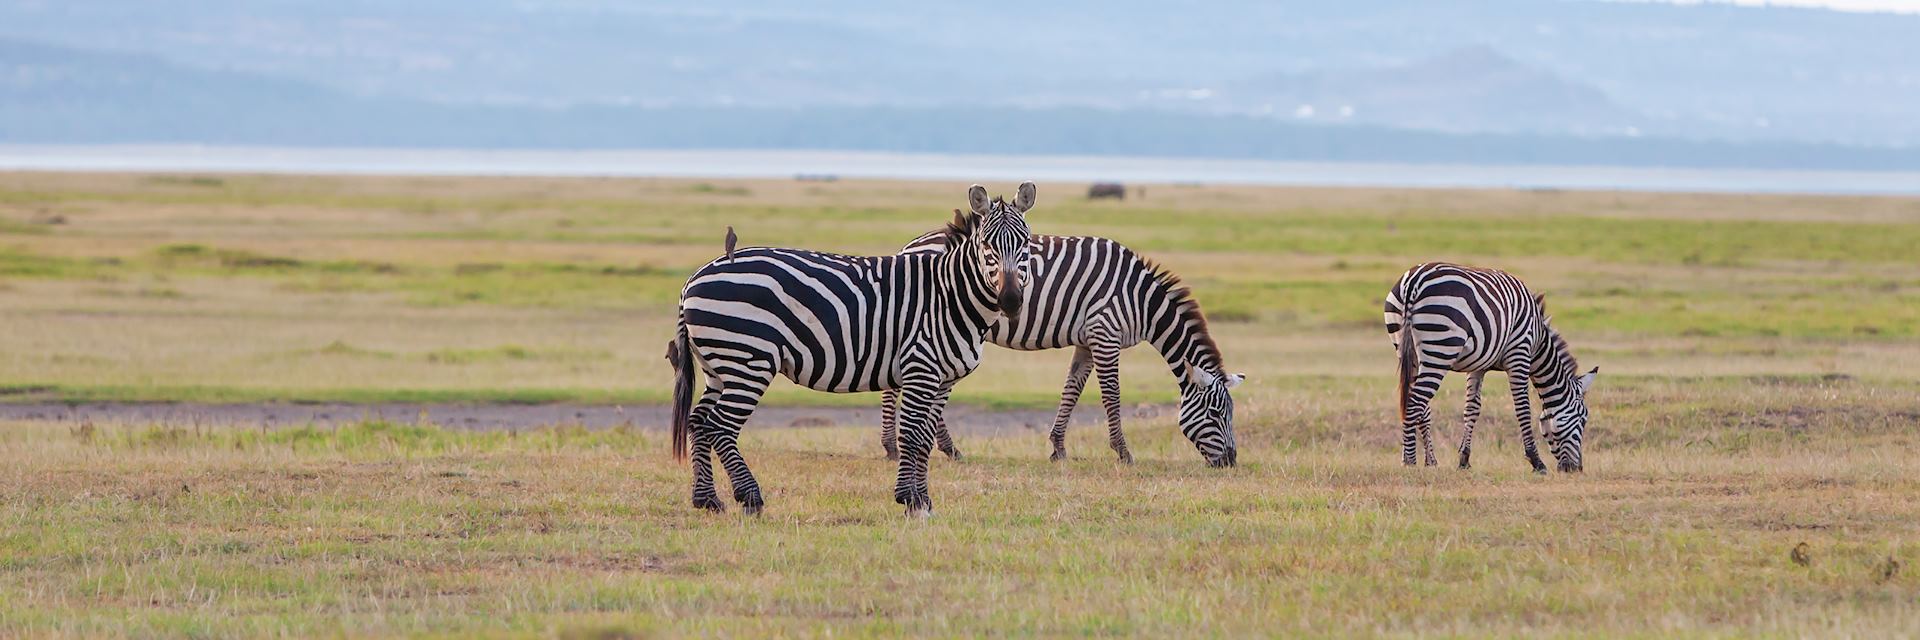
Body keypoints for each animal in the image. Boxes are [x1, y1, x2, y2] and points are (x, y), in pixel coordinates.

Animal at [672, 181, 1036, 515]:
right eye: (986, 245)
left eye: (1024, 244)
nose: (1011, 300)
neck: (949, 296)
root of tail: (694, 277)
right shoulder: (921, 368)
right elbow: (912, 435)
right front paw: (910, 499)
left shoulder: (943, 380)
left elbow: (926, 439)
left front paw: (924, 499)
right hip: (749, 360)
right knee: (720, 426)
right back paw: (750, 498)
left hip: (718, 365)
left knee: (698, 422)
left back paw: (707, 499)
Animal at [879, 231, 1251, 467]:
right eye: (1216, 414)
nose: (1231, 462)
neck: (1141, 301)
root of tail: (909, 246)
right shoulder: (1105, 332)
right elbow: (1112, 395)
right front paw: (1123, 453)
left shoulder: (1087, 340)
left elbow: (1072, 389)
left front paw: (1058, 447)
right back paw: (894, 447)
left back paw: (944, 447)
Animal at [1390, 261, 1597, 472]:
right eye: (1583, 419)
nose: (1577, 469)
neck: (1538, 342)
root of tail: (1415, 280)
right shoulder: (1519, 355)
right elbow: (1523, 408)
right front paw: (1536, 461)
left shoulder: (1478, 365)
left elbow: (1472, 408)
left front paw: (1464, 460)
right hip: (1440, 350)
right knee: (1415, 403)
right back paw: (1410, 463)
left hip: (1407, 349)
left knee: (1420, 406)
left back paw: (1430, 461)